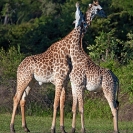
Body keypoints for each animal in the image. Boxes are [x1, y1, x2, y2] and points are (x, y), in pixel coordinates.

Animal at [9, 1, 106, 133]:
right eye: (99, 9)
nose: (105, 14)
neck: (67, 49)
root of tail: (19, 66)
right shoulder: (60, 80)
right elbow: (56, 103)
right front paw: (54, 128)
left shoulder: (64, 81)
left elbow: (62, 103)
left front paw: (63, 128)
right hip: (23, 79)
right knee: (16, 98)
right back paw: (12, 127)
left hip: (31, 81)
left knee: (23, 100)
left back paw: (25, 127)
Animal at [69, 2, 119, 133]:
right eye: (99, 9)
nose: (105, 14)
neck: (76, 58)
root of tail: (117, 79)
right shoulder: (74, 86)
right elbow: (74, 108)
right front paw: (72, 128)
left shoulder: (80, 86)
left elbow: (81, 109)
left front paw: (83, 129)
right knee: (117, 107)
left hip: (108, 90)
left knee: (114, 108)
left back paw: (116, 130)